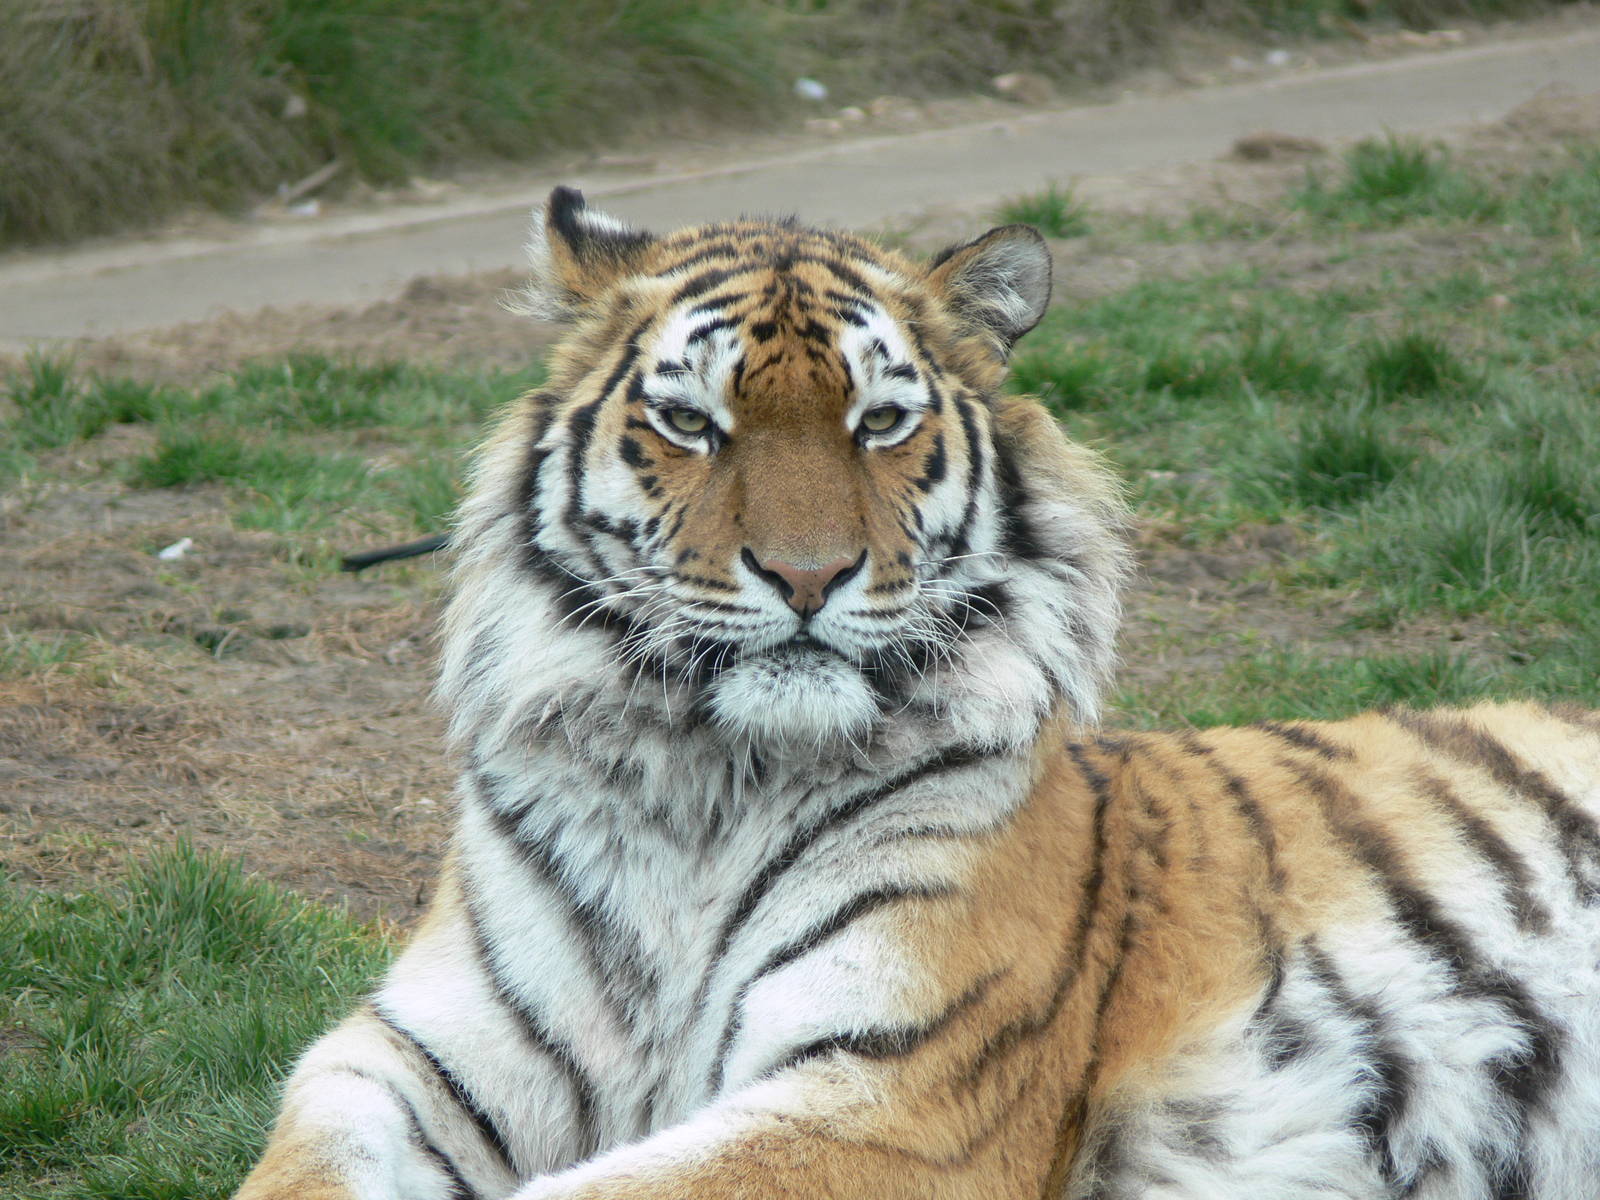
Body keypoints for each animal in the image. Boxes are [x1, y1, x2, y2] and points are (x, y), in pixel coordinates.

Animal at [234, 187, 1600, 1200]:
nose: (804, 574)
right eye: (692, 422)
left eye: (879, 422)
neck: (702, 784)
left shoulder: (892, 1094)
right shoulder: (403, 1060)